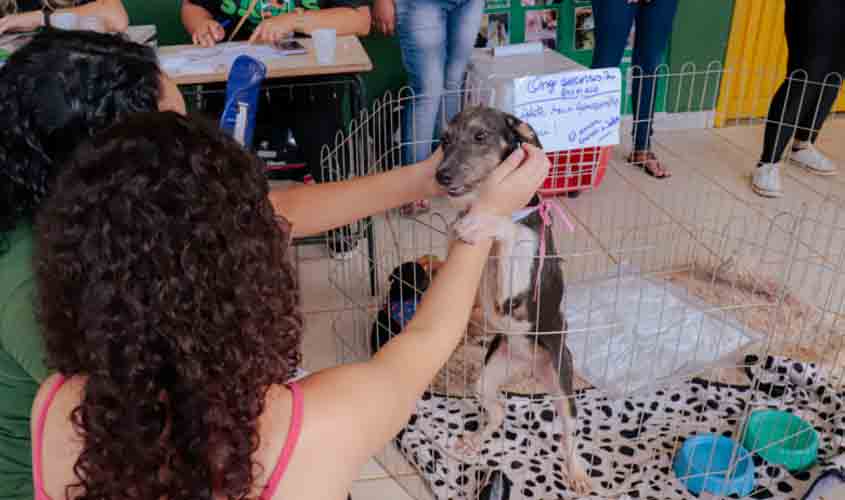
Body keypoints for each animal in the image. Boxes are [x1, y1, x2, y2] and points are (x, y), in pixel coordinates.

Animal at [436, 106, 588, 496]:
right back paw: (474, 441)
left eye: (480, 136)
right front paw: (462, 221)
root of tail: (528, 368)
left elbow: (506, 229)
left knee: (569, 435)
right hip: (487, 379)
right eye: (444, 140)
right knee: (499, 411)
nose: (440, 176)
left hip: (562, 384)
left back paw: (577, 473)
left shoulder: (514, 292)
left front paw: (482, 223)